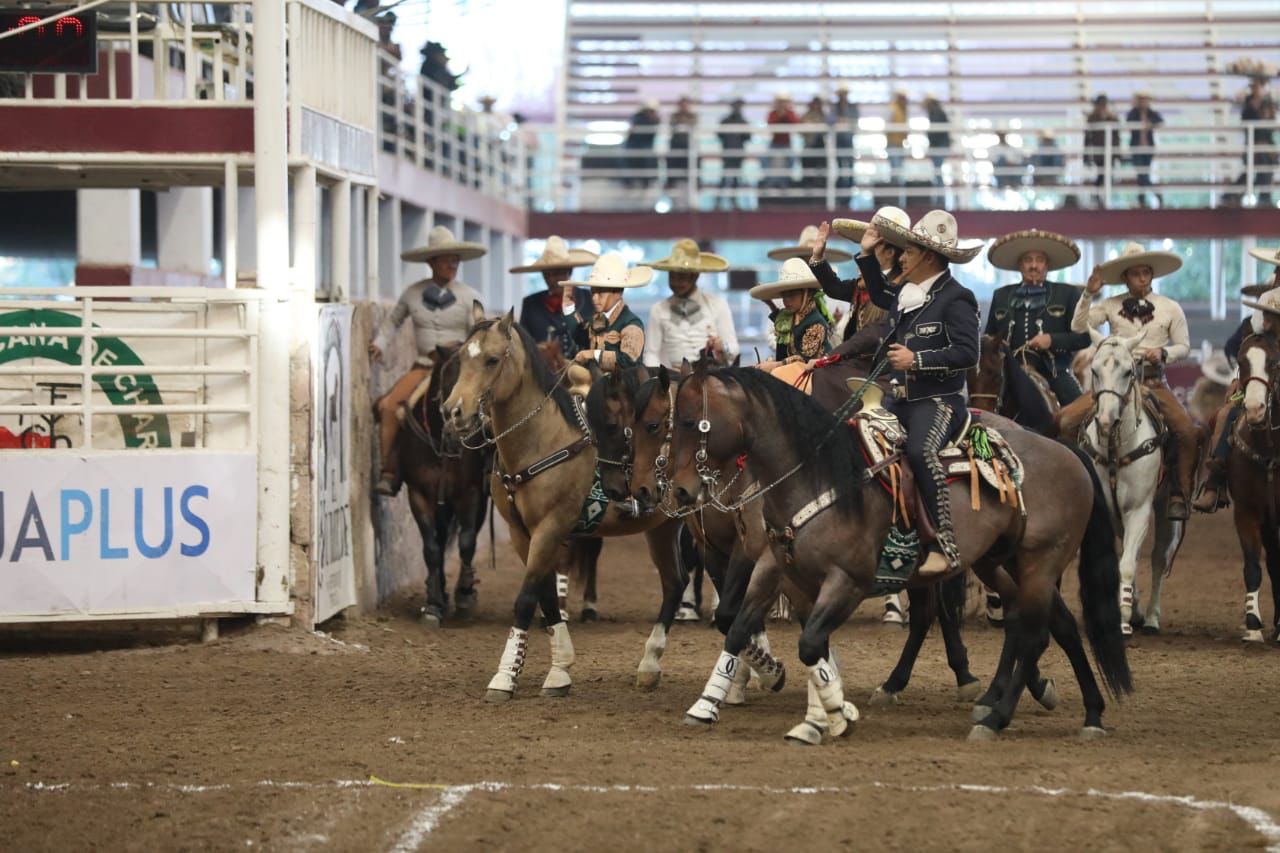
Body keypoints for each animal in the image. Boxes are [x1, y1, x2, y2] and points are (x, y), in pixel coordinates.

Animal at [399, 340, 494, 625]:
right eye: (450, 378)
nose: (458, 420)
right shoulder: (418, 494)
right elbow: (431, 548)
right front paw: (433, 603)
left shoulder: (471, 494)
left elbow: (467, 542)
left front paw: (464, 594)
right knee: (439, 541)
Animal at [442, 306, 691, 696]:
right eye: (461, 359)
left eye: (492, 359)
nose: (453, 412)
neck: (542, 440)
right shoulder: (522, 533)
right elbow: (544, 596)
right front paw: (559, 670)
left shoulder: (551, 527)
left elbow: (526, 599)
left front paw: (504, 676)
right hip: (662, 528)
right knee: (675, 583)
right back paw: (650, 665)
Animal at [665, 361, 1126, 742]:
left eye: (690, 421)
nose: (681, 491)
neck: (818, 476)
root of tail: (1065, 450)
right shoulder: (780, 569)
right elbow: (744, 629)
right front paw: (712, 705)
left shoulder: (846, 581)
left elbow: (811, 643)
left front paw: (835, 715)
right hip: (1004, 563)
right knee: (1053, 624)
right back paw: (1086, 712)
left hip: (1039, 563)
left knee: (1031, 632)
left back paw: (996, 717)